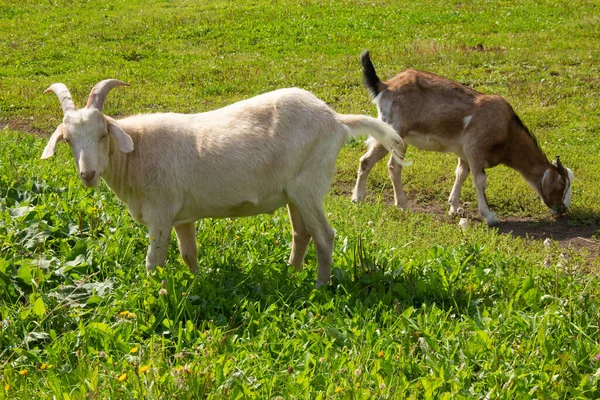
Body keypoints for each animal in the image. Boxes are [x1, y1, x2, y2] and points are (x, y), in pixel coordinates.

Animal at [42, 79, 406, 286]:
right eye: (68, 141)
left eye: (103, 134)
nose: (87, 174)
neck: (137, 154)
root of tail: (336, 119)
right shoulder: (182, 217)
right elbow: (188, 254)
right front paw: (199, 282)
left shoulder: (160, 213)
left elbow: (153, 262)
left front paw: (154, 292)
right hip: (294, 193)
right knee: (301, 233)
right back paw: (290, 274)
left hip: (309, 185)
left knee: (324, 236)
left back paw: (319, 287)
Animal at [354, 50, 576, 225]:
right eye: (561, 185)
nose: (562, 210)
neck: (507, 130)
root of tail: (385, 86)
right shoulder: (475, 148)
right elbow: (480, 180)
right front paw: (490, 216)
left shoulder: (464, 153)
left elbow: (461, 173)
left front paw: (454, 207)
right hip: (393, 133)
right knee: (373, 162)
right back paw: (366, 200)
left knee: (387, 165)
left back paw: (393, 203)